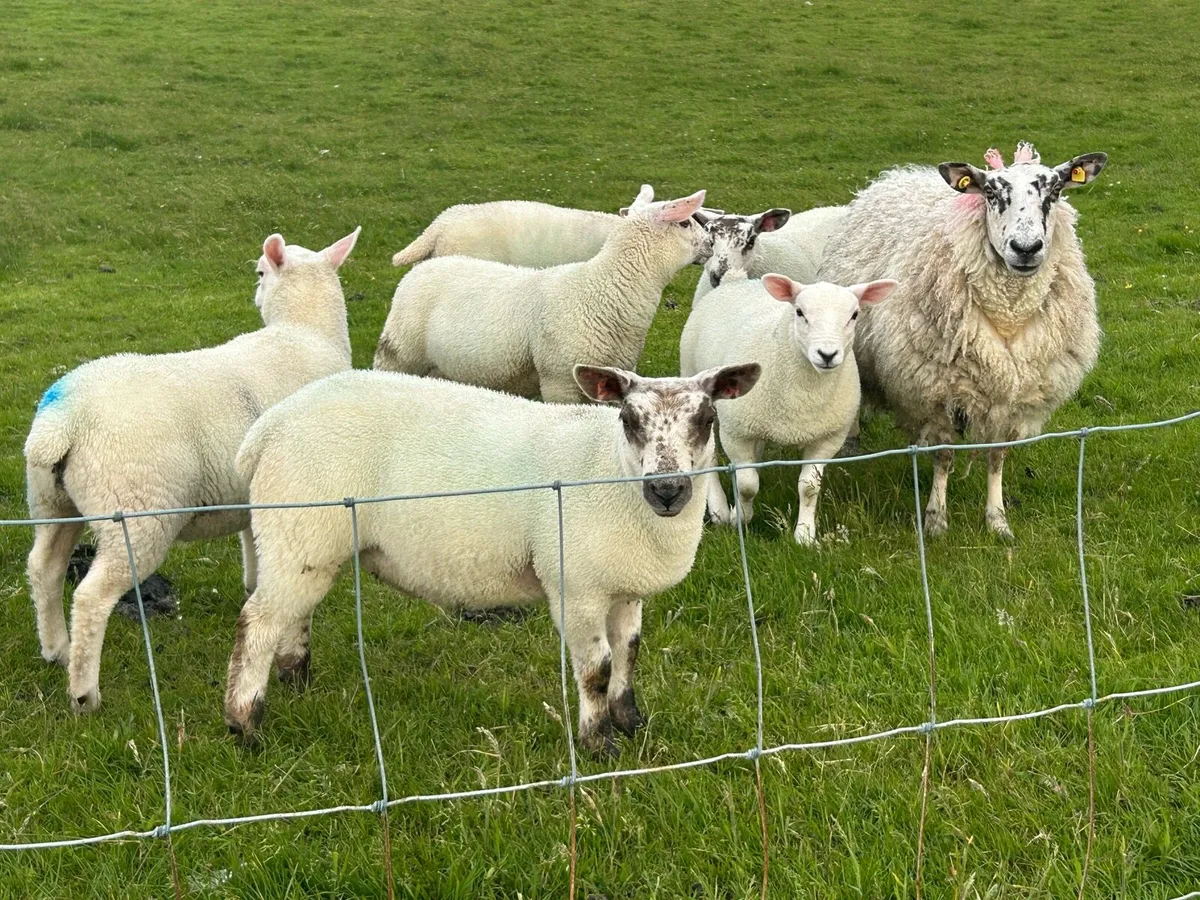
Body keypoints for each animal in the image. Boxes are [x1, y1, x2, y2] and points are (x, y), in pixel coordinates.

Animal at [24, 227, 360, 713]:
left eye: (260, 273)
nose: (254, 290)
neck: (303, 333)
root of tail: (62, 421)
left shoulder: (255, 497)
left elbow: (254, 560)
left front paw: (252, 590)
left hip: (53, 500)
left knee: (43, 568)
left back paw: (56, 650)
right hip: (137, 511)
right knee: (90, 597)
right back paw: (85, 693)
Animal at [224, 362, 761, 755]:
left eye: (707, 421)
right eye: (627, 421)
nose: (667, 491)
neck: (606, 466)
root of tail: (266, 429)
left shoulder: (623, 586)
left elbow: (629, 654)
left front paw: (631, 722)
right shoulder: (576, 585)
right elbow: (597, 670)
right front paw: (598, 745)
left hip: (307, 541)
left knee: (294, 614)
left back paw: (296, 680)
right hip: (300, 528)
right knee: (258, 623)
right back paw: (245, 725)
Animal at [681, 273, 896, 544]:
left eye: (854, 315)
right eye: (800, 312)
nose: (827, 354)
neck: (802, 396)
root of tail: (736, 280)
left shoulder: (827, 438)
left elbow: (809, 487)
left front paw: (805, 535)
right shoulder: (736, 432)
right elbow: (747, 484)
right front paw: (740, 517)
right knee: (707, 457)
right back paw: (718, 509)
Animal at [817, 142, 1107, 538]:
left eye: (1055, 191)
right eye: (991, 193)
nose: (1026, 248)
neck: (1009, 313)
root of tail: (900, 175)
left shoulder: (1012, 398)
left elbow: (997, 456)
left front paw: (997, 520)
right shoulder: (939, 391)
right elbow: (944, 455)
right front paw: (936, 519)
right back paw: (851, 444)